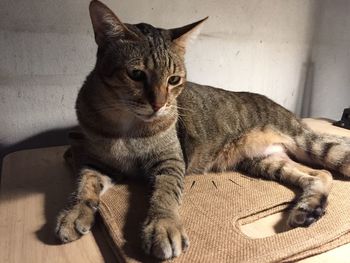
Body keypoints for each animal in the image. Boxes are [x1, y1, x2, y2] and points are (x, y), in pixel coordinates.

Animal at [54, 0, 350, 260]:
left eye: (174, 80)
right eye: (136, 74)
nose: (159, 104)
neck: (127, 128)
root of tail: (291, 114)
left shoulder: (171, 161)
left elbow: (165, 194)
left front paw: (163, 226)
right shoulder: (97, 161)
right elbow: (84, 184)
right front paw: (75, 213)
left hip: (310, 145)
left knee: (329, 166)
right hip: (264, 161)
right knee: (320, 175)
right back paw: (308, 209)